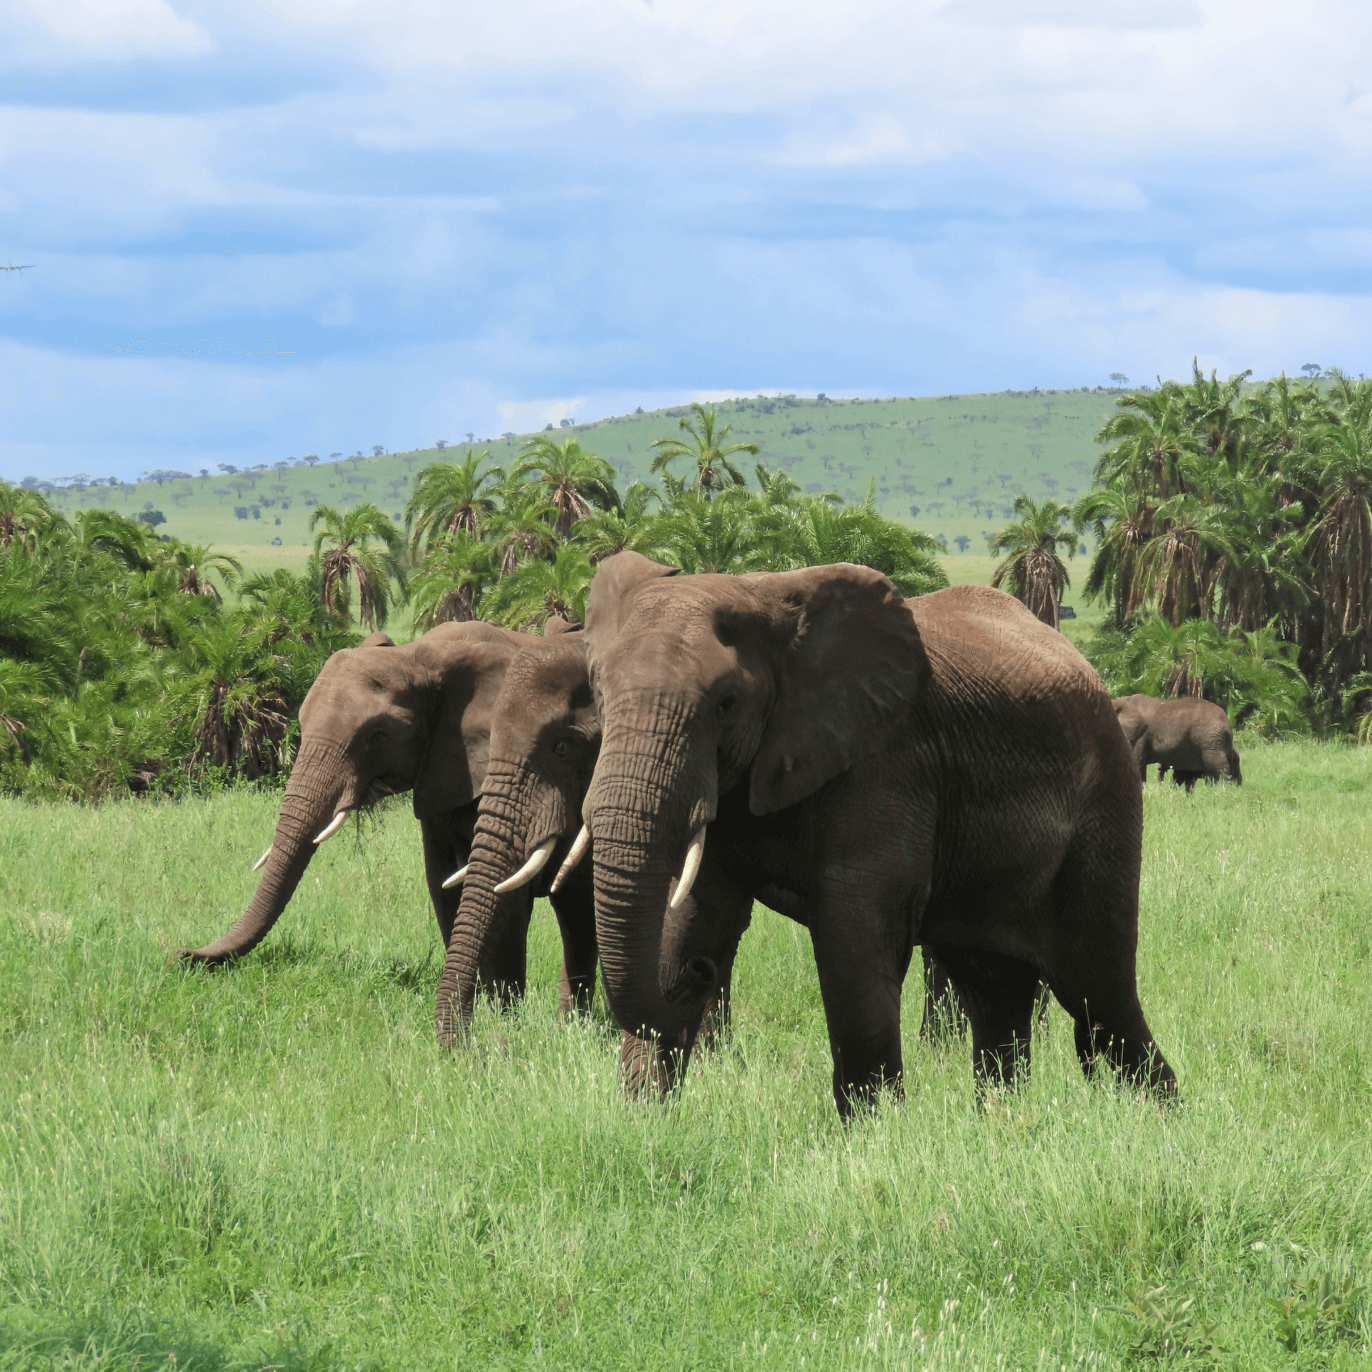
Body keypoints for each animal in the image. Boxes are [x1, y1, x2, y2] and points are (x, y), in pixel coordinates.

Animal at [178, 625, 578, 998]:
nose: (183, 954)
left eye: (378, 735)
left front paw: (498, 1012)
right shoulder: (440, 775)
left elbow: (502, 893)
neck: (420, 656)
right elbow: (442, 880)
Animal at [578, 551, 1179, 1119]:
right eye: (596, 689)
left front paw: (871, 1135)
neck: (763, 596)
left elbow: (855, 934)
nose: (700, 975)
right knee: (996, 992)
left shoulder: (887, 761)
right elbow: (691, 915)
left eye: (726, 703)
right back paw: (1001, 1122)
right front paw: (645, 1120)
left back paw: (1161, 1121)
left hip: (1106, 802)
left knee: (1098, 992)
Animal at [1108, 696, 1240, 795]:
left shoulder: (1139, 737)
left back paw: (1223, 793)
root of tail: (1227, 724)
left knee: (1218, 766)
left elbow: (1137, 762)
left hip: (1209, 740)